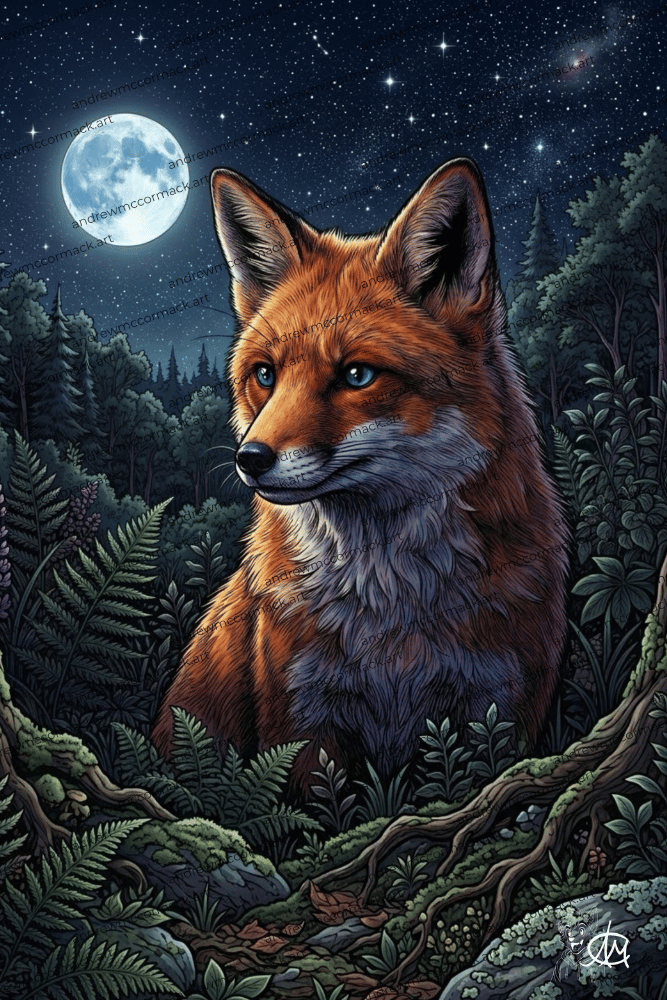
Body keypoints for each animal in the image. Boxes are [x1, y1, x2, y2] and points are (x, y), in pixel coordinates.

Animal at [151, 156, 569, 795]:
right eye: (265, 375)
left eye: (357, 375)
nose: (251, 458)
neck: (392, 618)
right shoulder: (304, 724)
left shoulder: (500, 713)